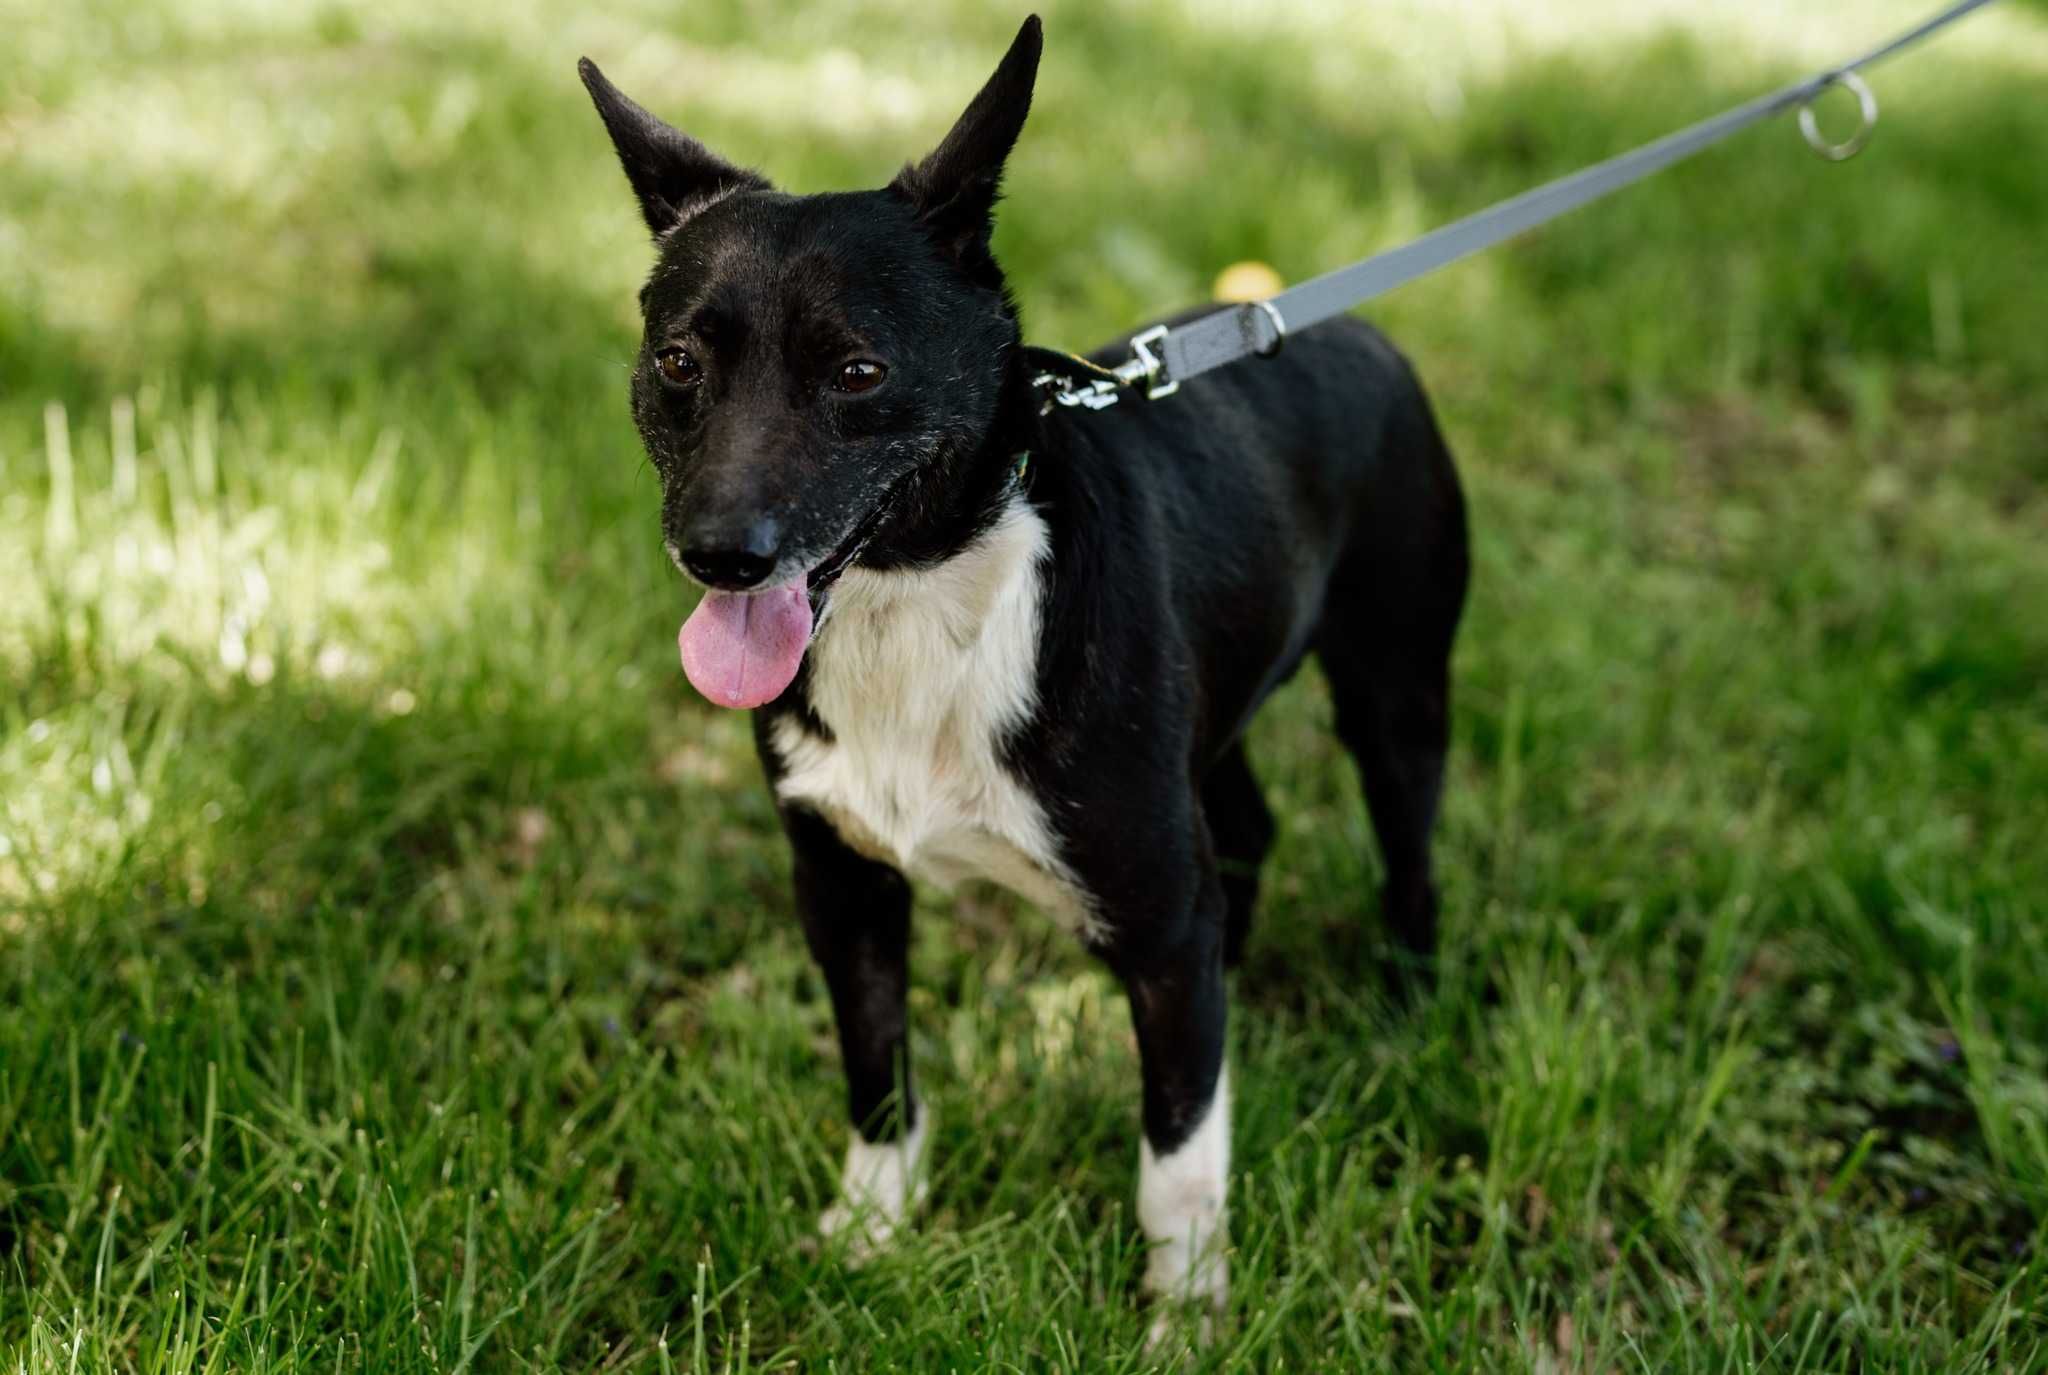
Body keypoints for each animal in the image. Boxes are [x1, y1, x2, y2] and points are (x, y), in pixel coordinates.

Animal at [585, 10, 1466, 1319]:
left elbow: (1177, 1153)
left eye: (858, 371)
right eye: (679, 364)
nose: (720, 555)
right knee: (1245, 830)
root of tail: (1347, 324)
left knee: (1403, 853)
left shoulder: (1159, 917)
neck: (918, 598)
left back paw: (1405, 1005)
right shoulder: (841, 882)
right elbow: (876, 1071)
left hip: (1394, 688)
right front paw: (869, 1232)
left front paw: (1186, 1315)